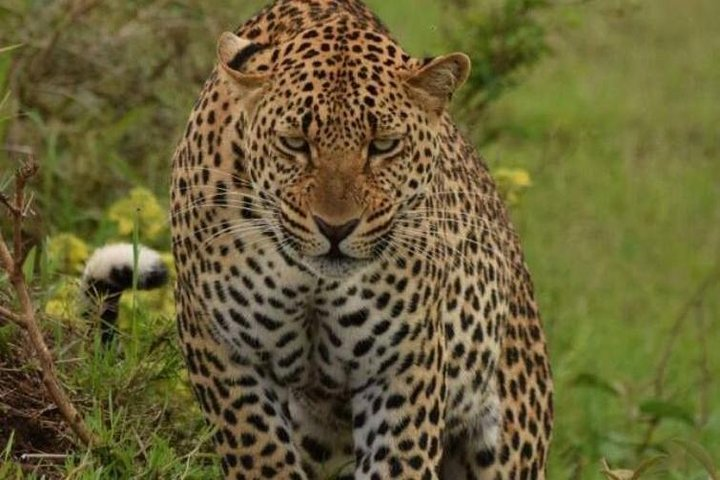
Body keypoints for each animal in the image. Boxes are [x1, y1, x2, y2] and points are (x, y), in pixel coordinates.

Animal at [169, 1, 553, 478]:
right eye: (295, 143)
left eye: (383, 145)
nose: (335, 229)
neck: (313, 282)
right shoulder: (222, 345)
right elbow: (261, 453)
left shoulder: (403, 366)